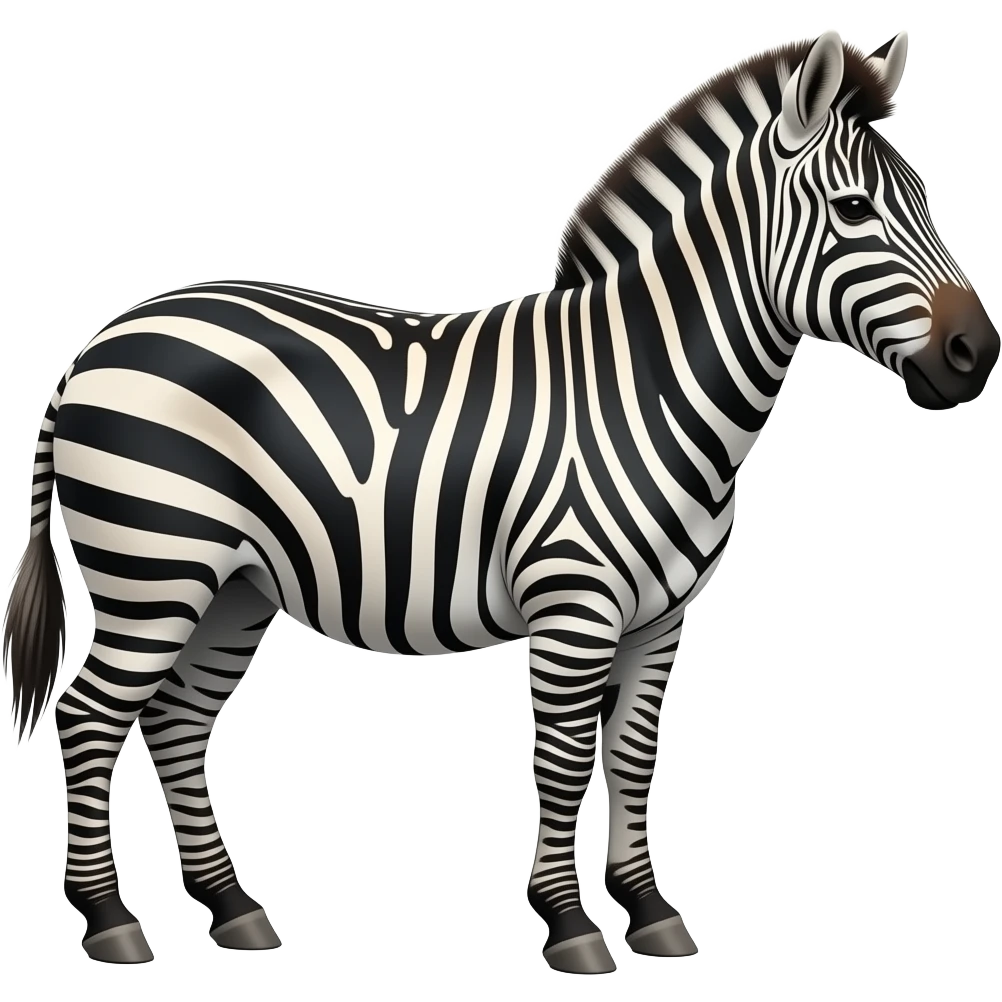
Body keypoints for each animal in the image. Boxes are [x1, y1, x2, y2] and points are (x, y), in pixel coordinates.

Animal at [3, 29, 998, 973]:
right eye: (855, 209)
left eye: (925, 199)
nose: (975, 355)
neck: (645, 383)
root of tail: (95, 345)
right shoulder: (573, 608)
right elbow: (561, 763)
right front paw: (572, 927)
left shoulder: (660, 620)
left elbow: (630, 756)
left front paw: (651, 913)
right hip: (154, 567)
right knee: (90, 717)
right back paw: (110, 922)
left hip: (233, 587)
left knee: (174, 723)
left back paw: (235, 909)